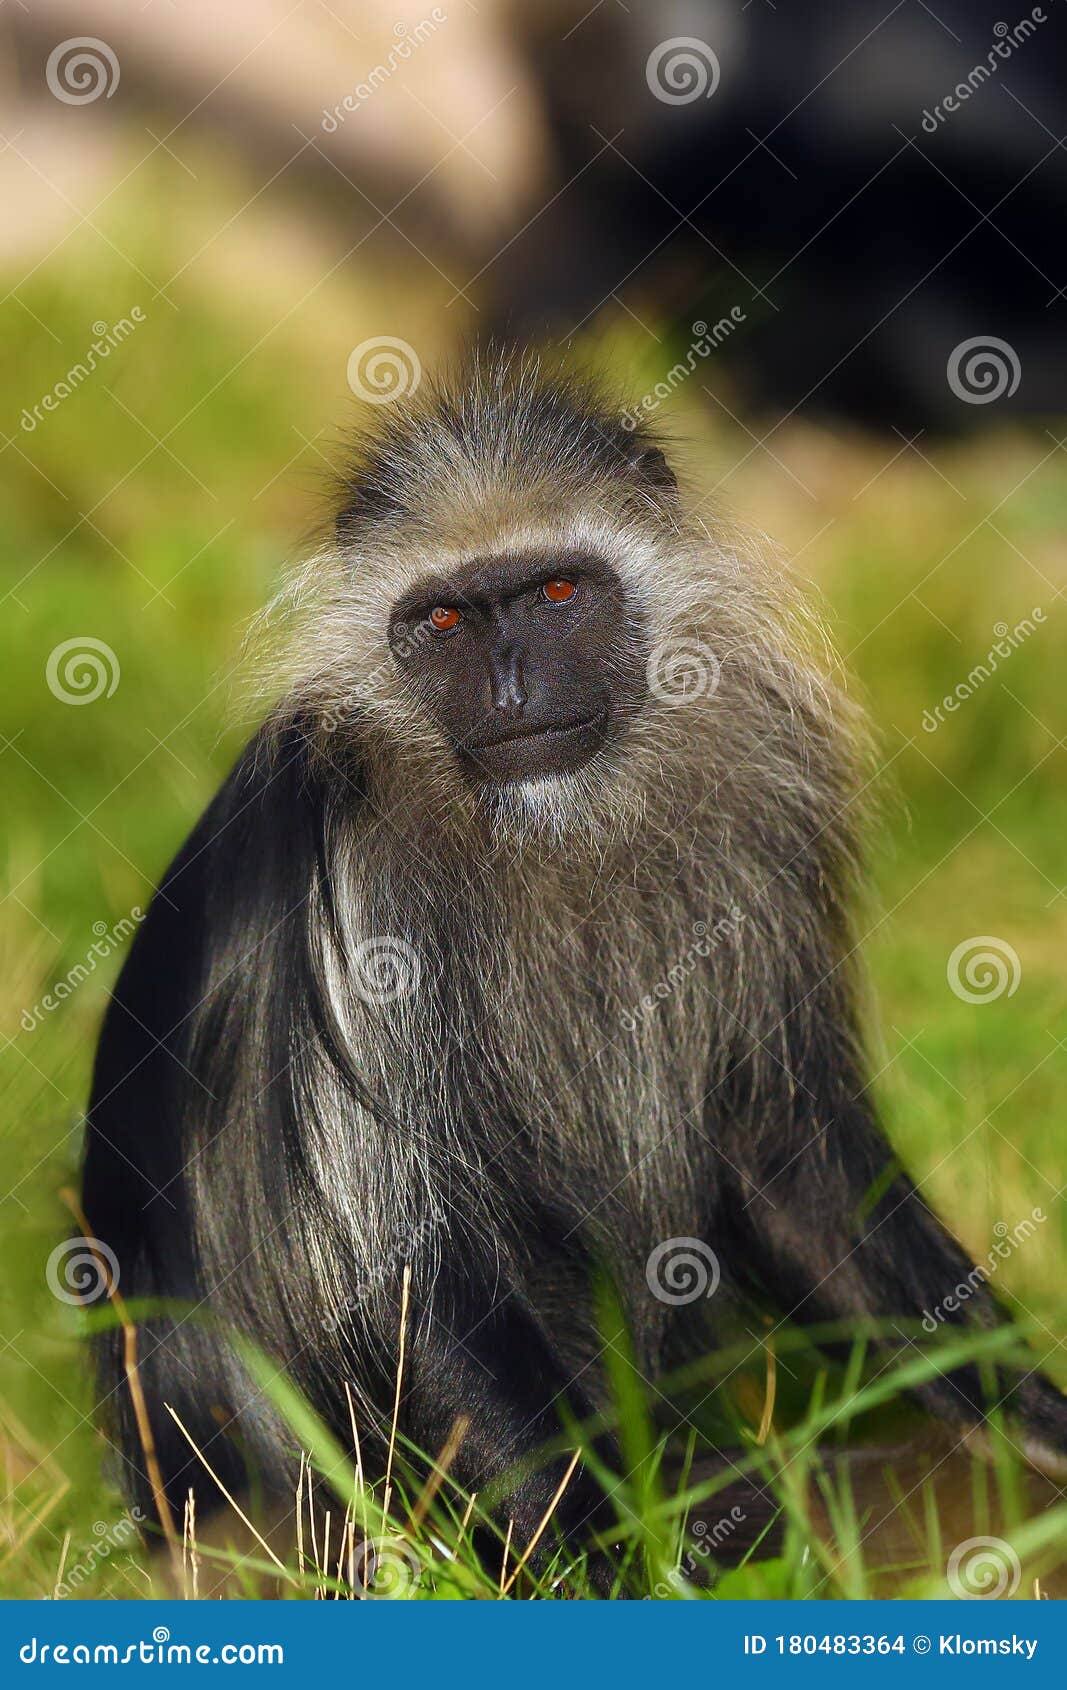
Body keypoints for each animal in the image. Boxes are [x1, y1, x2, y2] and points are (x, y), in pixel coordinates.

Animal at [83, 349, 1067, 1588]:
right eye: (443, 621)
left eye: (555, 594)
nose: (511, 693)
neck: (545, 820)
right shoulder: (353, 879)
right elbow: (402, 1268)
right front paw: (620, 1568)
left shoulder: (765, 807)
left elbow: (791, 1165)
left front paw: (1037, 1423)